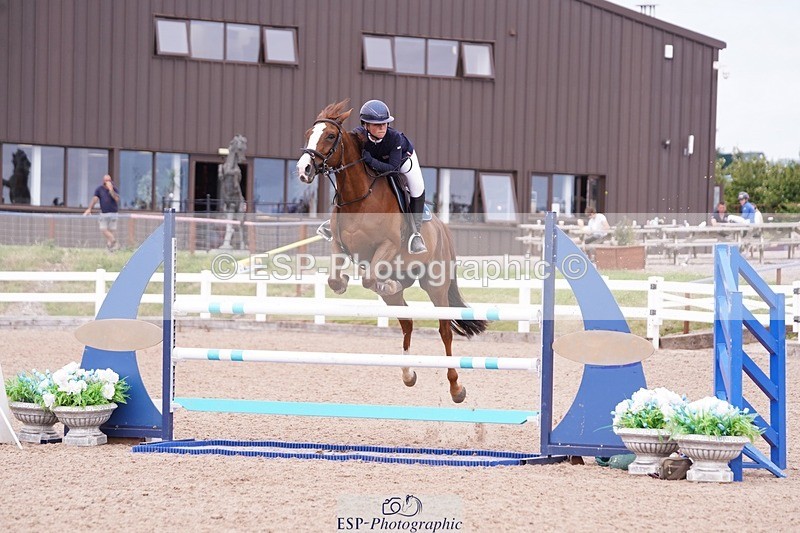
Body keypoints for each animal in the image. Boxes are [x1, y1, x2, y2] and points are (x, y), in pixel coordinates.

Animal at [296, 100, 487, 403]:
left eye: (330, 136)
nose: (303, 169)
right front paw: (346, 283)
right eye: (308, 134)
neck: (358, 198)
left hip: (436, 286)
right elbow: (336, 279)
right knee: (407, 322)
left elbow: (368, 278)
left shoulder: (387, 246)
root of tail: (443, 231)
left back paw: (456, 388)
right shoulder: (339, 246)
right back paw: (408, 373)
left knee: (445, 331)